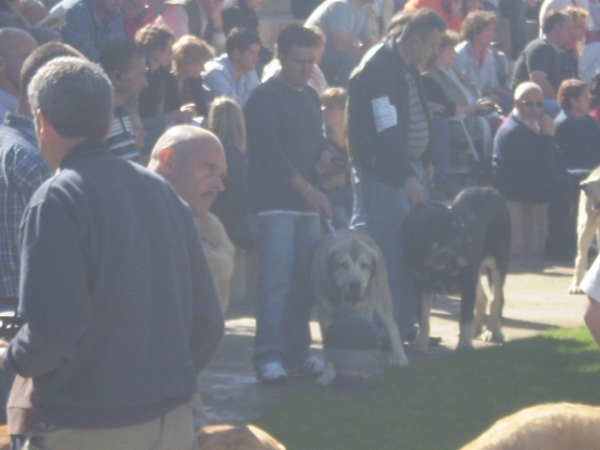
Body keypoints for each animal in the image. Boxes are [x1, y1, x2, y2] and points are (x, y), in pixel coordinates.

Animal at [310, 230, 408, 384]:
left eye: (364, 265)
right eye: (343, 265)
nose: (356, 285)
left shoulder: (364, 312)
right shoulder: (324, 314)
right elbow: (329, 345)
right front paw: (328, 376)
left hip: (381, 297)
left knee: (392, 326)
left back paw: (400, 357)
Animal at [404, 186, 510, 352]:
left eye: (462, 226)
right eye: (449, 230)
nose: (470, 243)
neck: (434, 261)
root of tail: (488, 189)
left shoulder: (467, 281)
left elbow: (465, 317)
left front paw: (464, 347)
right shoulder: (421, 284)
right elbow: (423, 317)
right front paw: (419, 344)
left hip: (498, 263)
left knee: (496, 300)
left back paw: (494, 332)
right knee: (483, 298)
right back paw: (476, 330)